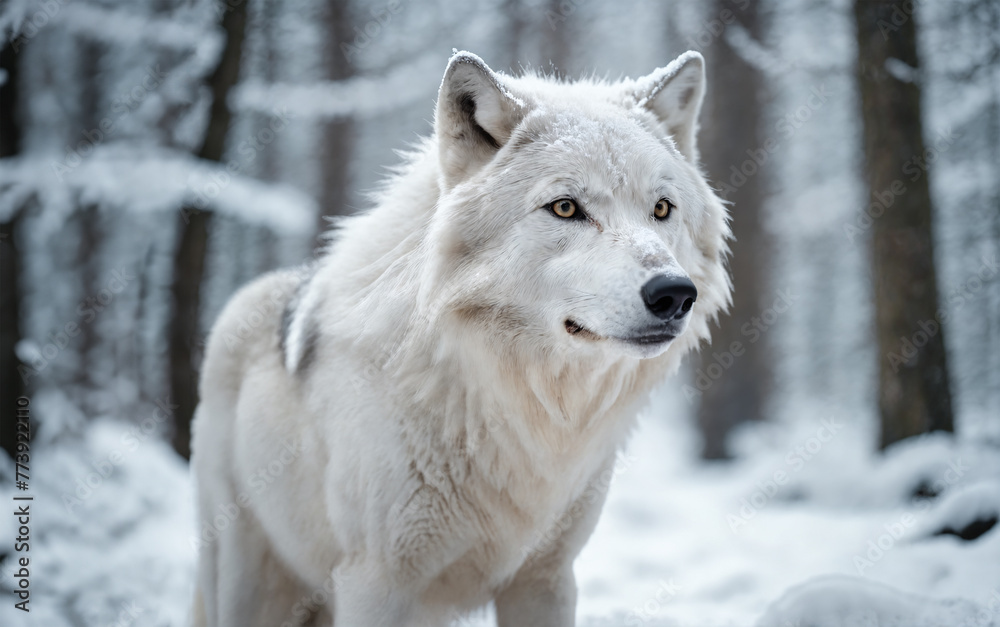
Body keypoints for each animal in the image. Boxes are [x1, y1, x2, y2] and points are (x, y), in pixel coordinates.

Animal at [191, 50, 731, 627]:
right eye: (566, 207)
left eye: (661, 208)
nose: (675, 294)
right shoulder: (373, 581)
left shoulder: (547, 580)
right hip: (248, 580)